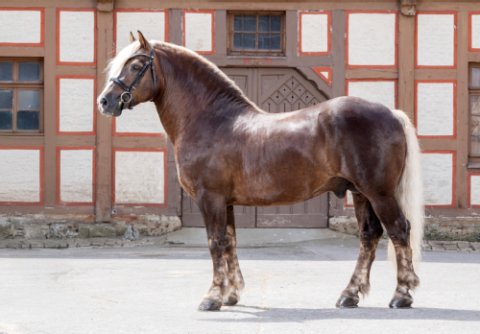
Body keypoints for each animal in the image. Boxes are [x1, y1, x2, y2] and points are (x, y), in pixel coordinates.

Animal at [97, 31, 424, 310]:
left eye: (136, 64)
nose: (105, 101)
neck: (212, 120)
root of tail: (392, 113)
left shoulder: (210, 198)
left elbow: (214, 243)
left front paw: (211, 297)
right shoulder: (225, 202)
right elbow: (229, 242)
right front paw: (231, 294)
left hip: (379, 193)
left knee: (399, 230)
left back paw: (401, 295)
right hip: (360, 193)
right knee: (369, 235)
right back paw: (349, 295)